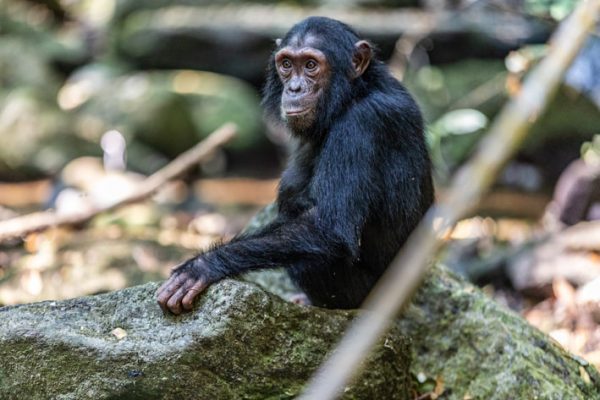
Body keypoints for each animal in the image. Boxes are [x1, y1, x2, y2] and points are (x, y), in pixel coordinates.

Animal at [157, 17, 434, 312]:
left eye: (311, 65)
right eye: (287, 64)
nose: (294, 88)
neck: (354, 94)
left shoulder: (363, 124)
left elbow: (330, 226)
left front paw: (202, 266)